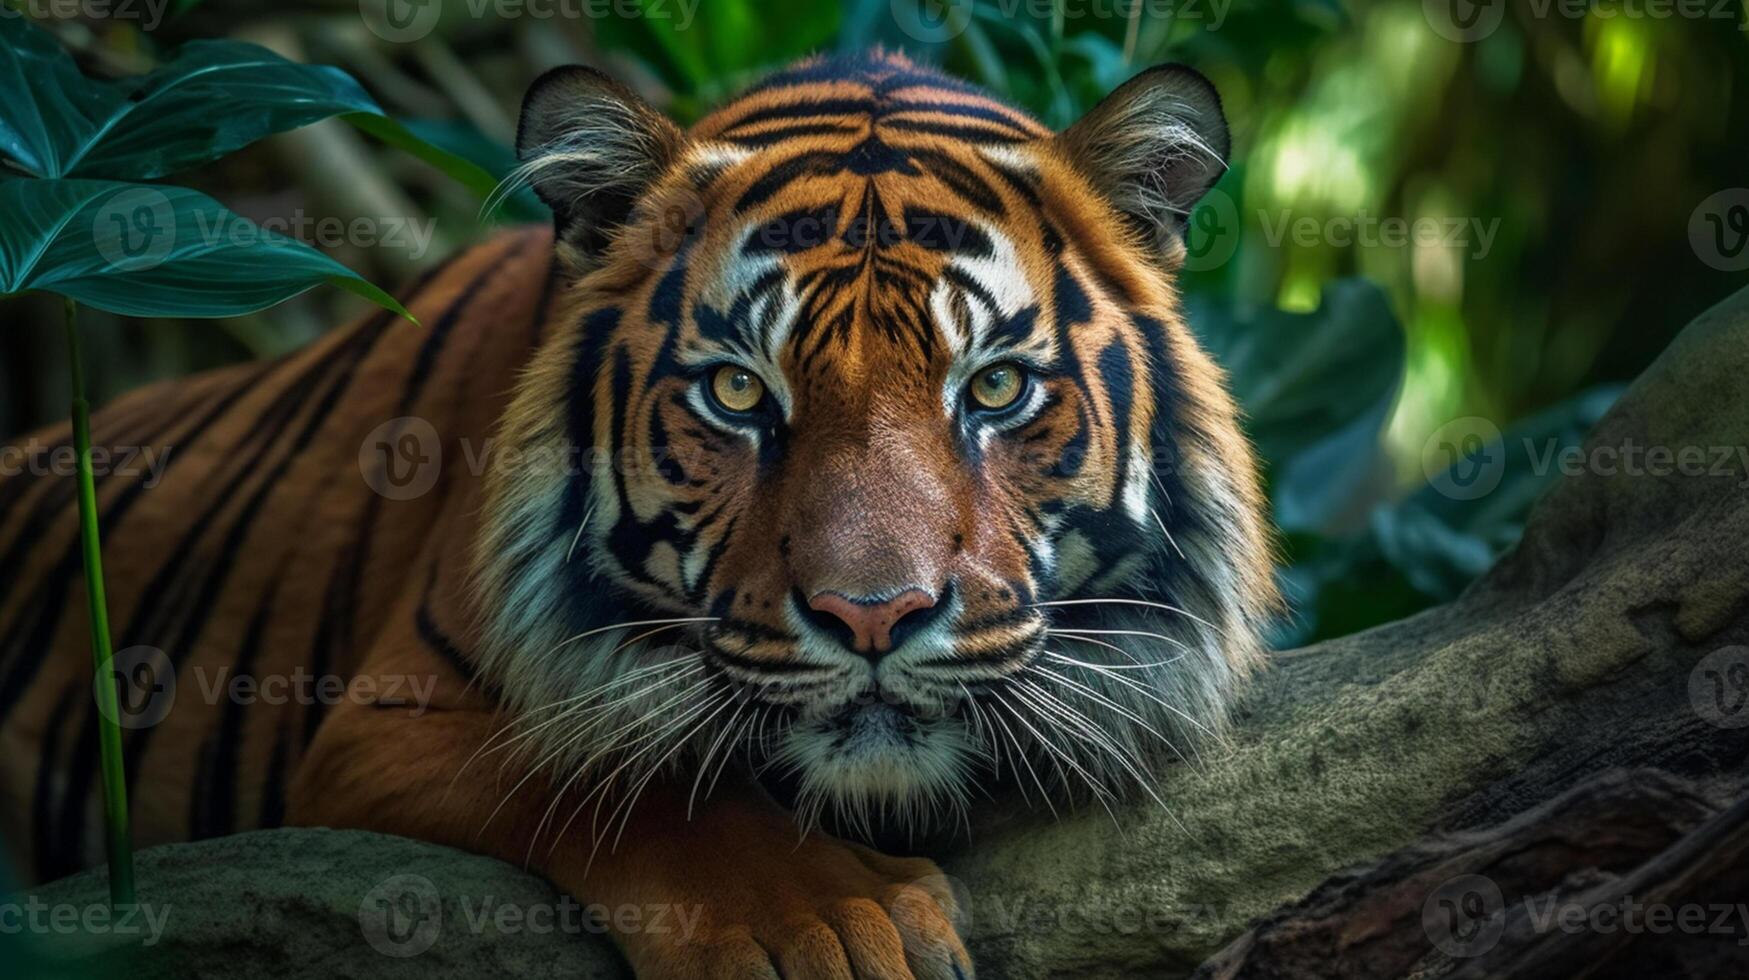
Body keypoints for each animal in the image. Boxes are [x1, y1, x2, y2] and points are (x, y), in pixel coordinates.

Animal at [0, 51, 1273, 980]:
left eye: (996, 388)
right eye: (739, 393)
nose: (873, 617)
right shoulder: (383, 720)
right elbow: (626, 780)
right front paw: (830, 924)